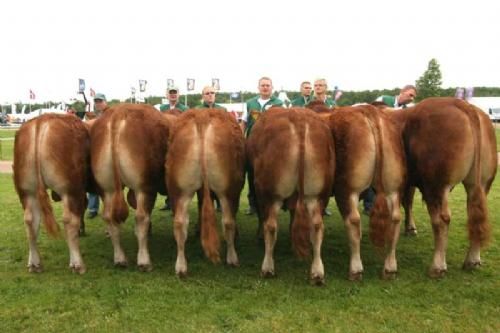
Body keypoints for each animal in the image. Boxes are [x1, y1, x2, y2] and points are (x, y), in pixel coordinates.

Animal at [13, 113, 92, 272]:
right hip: (71, 189)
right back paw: (77, 264)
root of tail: (41, 120)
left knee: (30, 221)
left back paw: (34, 263)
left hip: (27, 191)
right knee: (69, 220)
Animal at [91, 103, 175, 270]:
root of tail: (119, 111)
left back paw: (120, 258)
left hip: (107, 189)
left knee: (109, 217)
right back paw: (144, 261)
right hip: (144, 187)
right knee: (141, 217)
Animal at [167, 108, 245, 274]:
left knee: (179, 223)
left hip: (180, 189)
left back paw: (181, 267)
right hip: (229, 189)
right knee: (228, 222)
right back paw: (232, 259)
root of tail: (202, 115)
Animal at [247, 107, 336, 284]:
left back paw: (267, 268)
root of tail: (299, 119)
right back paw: (317, 273)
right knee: (317, 225)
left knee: (271, 226)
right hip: (318, 194)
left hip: (269, 192)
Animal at [394, 97, 496, 276]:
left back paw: (437, 266)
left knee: (441, 220)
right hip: (481, 183)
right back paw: (472, 260)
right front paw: (410, 228)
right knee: (475, 215)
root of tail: (461, 104)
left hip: (435, 184)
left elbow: (406, 202)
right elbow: (408, 202)